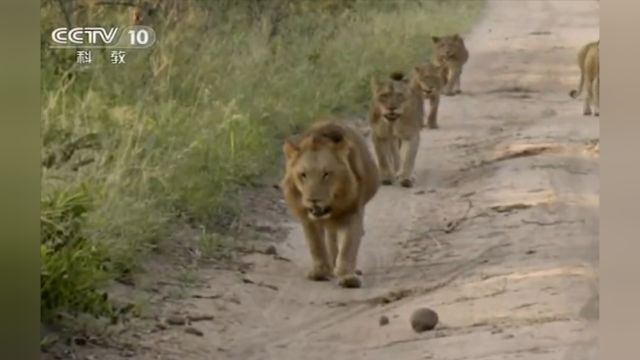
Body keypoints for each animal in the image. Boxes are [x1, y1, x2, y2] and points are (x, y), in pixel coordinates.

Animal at [280, 119, 380, 288]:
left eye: (326, 174)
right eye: (303, 175)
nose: (313, 200)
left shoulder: (354, 211)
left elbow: (348, 245)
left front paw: (347, 276)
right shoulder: (307, 218)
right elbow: (316, 245)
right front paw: (320, 271)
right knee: (330, 239)